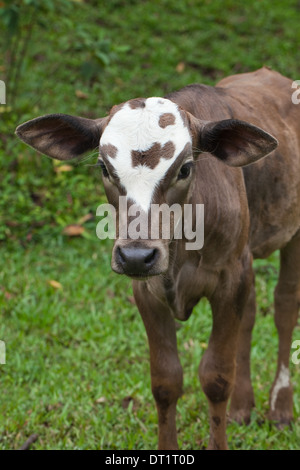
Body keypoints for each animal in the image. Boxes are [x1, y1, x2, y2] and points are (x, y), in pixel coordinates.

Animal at [15, 68, 300, 450]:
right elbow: (166, 382)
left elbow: (216, 378)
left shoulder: (229, 278)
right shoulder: (149, 291)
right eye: (104, 167)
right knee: (252, 311)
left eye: (186, 168)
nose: (137, 255)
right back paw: (243, 406)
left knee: (284, 308)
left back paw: (280, 406)